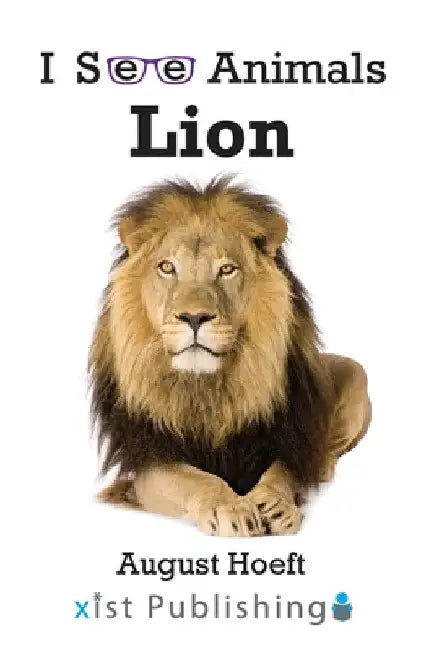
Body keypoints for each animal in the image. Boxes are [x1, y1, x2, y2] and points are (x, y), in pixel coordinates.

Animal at [89, 176, 371, 536]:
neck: (208, 387)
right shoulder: (149, 460)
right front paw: (231, 507)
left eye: (227, 269)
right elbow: (196, 480)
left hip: (356, 373)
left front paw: (275, 504)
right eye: (167, 267)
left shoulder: (285, 441)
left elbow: (281, 473)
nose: (194, 317)